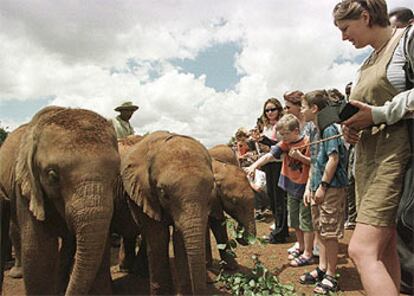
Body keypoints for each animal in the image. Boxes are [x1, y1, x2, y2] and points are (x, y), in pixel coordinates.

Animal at [120, 131, 215, 294]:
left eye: (211, 191)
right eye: (164, 194)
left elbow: (179, 239)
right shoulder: (143, 191)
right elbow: (159, 237)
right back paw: (127, 269)